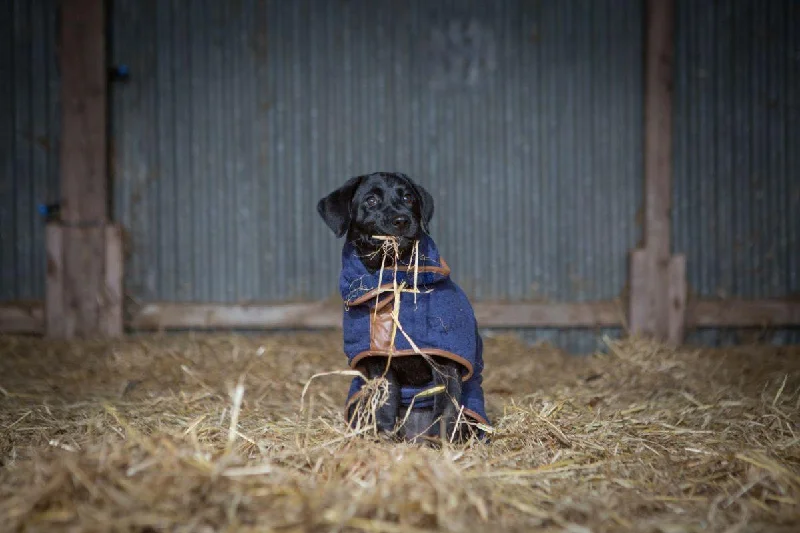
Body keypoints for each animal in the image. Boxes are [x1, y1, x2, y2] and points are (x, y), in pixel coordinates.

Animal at [318, 171, 488, 440]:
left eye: (409, 197)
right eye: (371, 201)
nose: (402, 220)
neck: (394, 279)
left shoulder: (446, 362)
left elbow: (446, 408)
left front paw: (443, 443)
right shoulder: (378, 362)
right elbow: (386, 401)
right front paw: (386, 436)